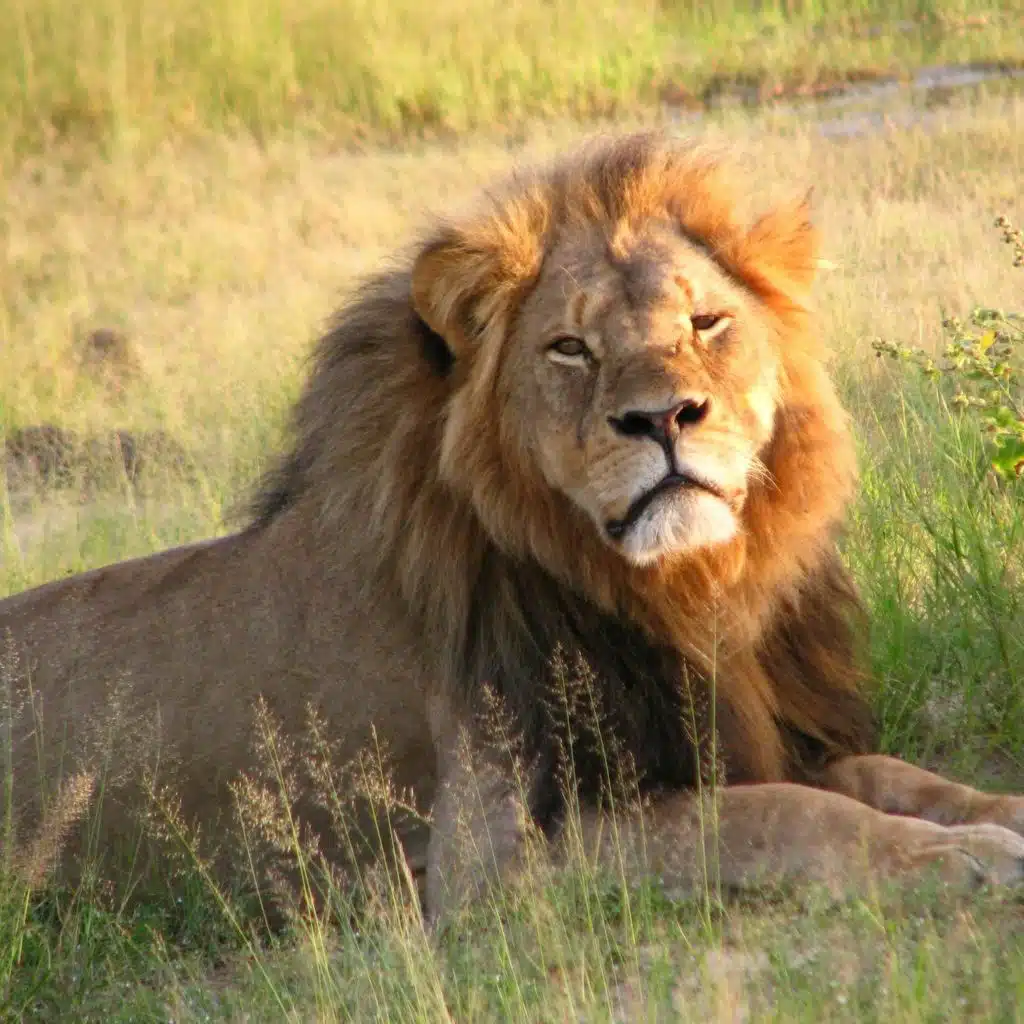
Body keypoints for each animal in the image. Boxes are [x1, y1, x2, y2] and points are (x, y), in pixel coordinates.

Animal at [3, 130, 1024, 923]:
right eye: (569, 347)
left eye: (705, 321)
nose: (664, 417)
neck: (682, 591)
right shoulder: (487, 859)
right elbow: (775, 814)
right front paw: (949, 858)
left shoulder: (751, 730)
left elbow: (894, 775)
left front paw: (995, 816)